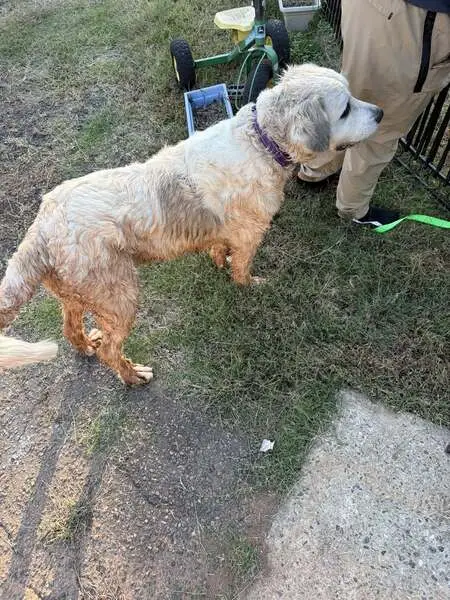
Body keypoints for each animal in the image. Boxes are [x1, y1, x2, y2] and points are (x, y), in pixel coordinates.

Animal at [0, 64, 383, 383]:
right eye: (345, 109)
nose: (380, 112)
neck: (261, 140)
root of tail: (42, 224)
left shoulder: (227, 232)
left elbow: (220, 249)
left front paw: (219, 263)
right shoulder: (251, 235)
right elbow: (242, 269)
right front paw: (249, 285)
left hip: (75, 293)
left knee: (70, 328)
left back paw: (87, 346)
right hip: (119, 295)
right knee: (111, 348)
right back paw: (132, 375)